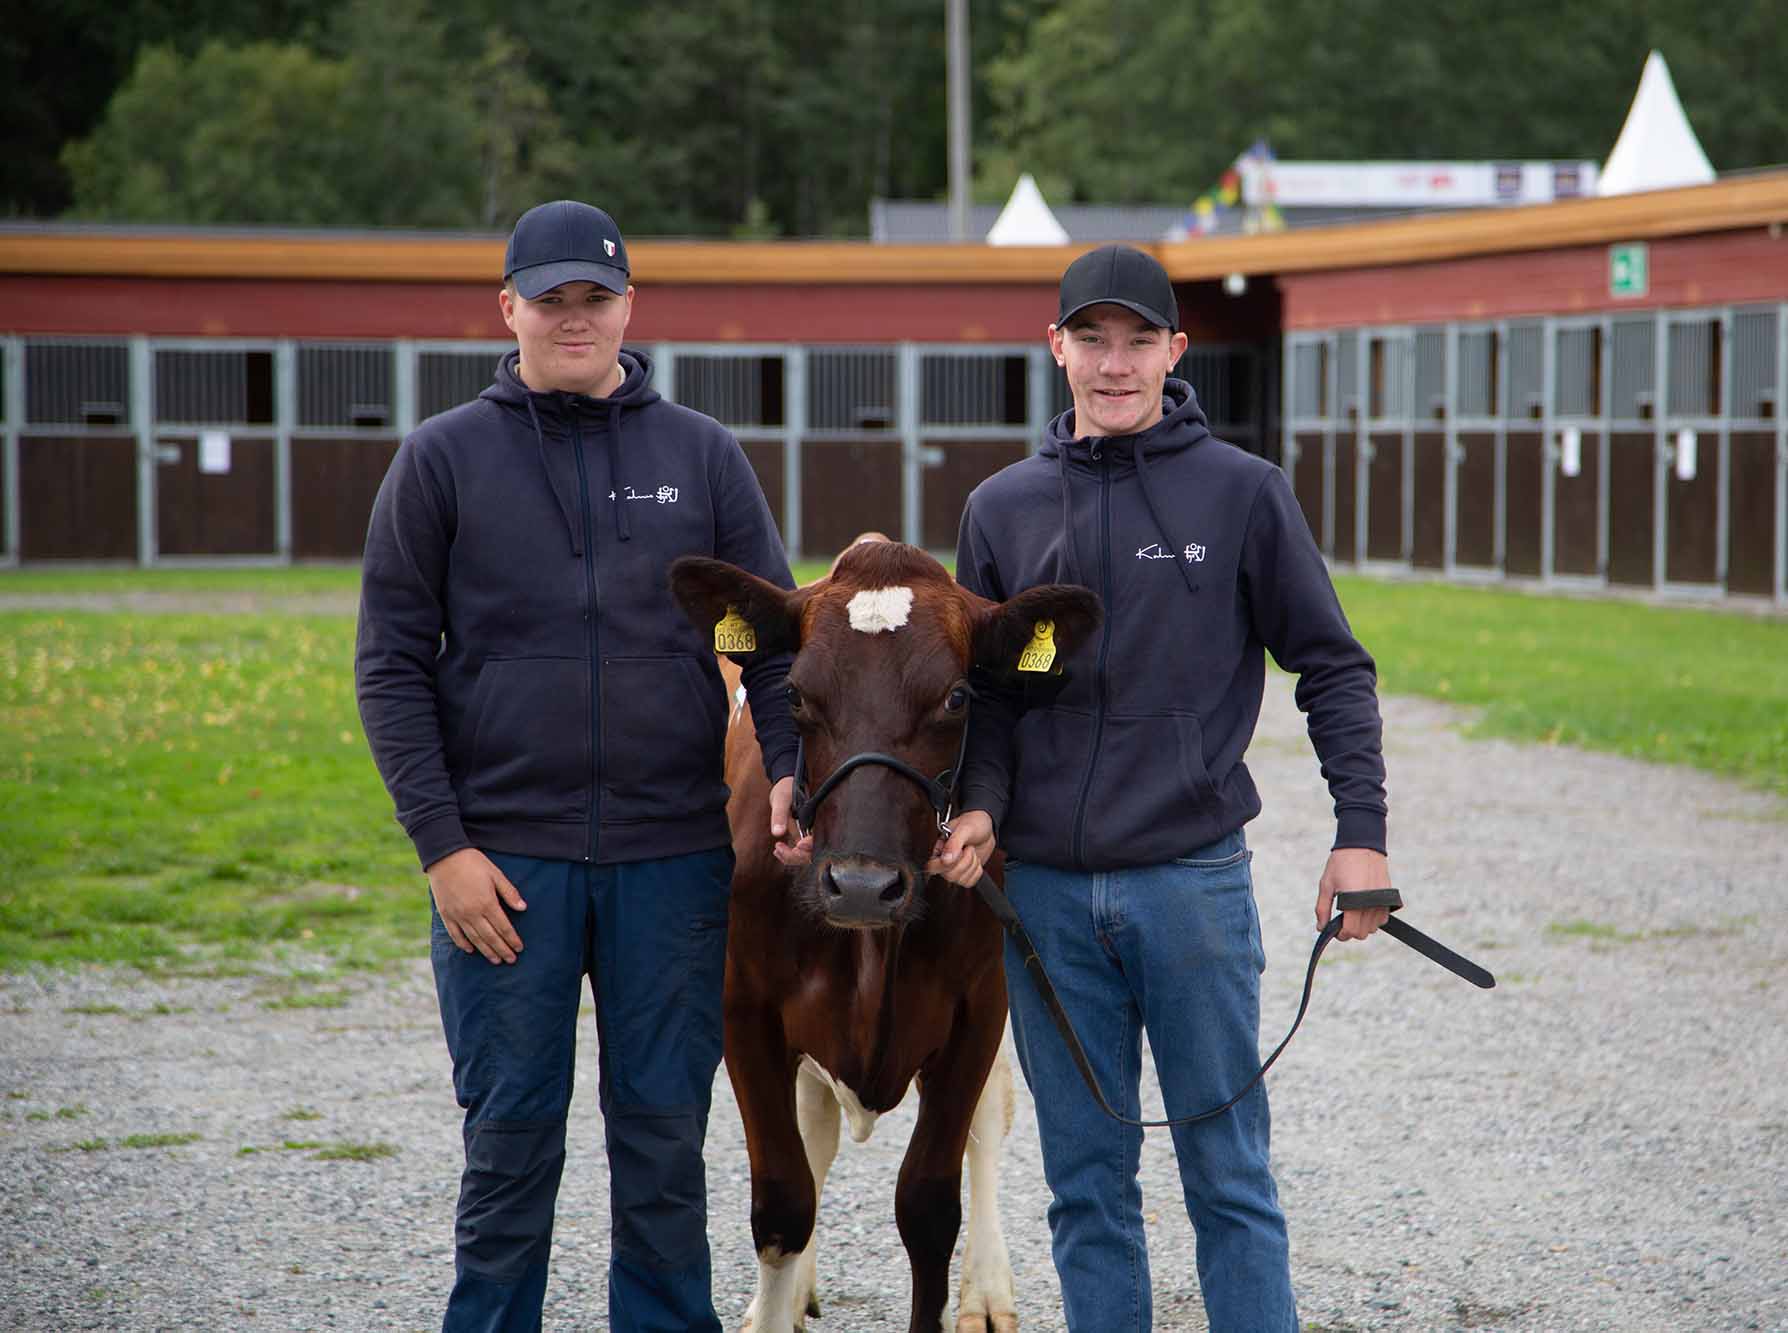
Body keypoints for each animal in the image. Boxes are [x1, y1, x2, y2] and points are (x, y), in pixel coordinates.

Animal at [668, 539, 1094, 1329]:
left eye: (958, 697)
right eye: (795, 693)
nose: (862, 884)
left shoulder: (978, 1009)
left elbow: (928, 1207)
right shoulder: (744, 1008)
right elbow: (784, 1203)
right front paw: (773, 1298)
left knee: (989, 1119)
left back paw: (987, 1292)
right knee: (817, 1132)